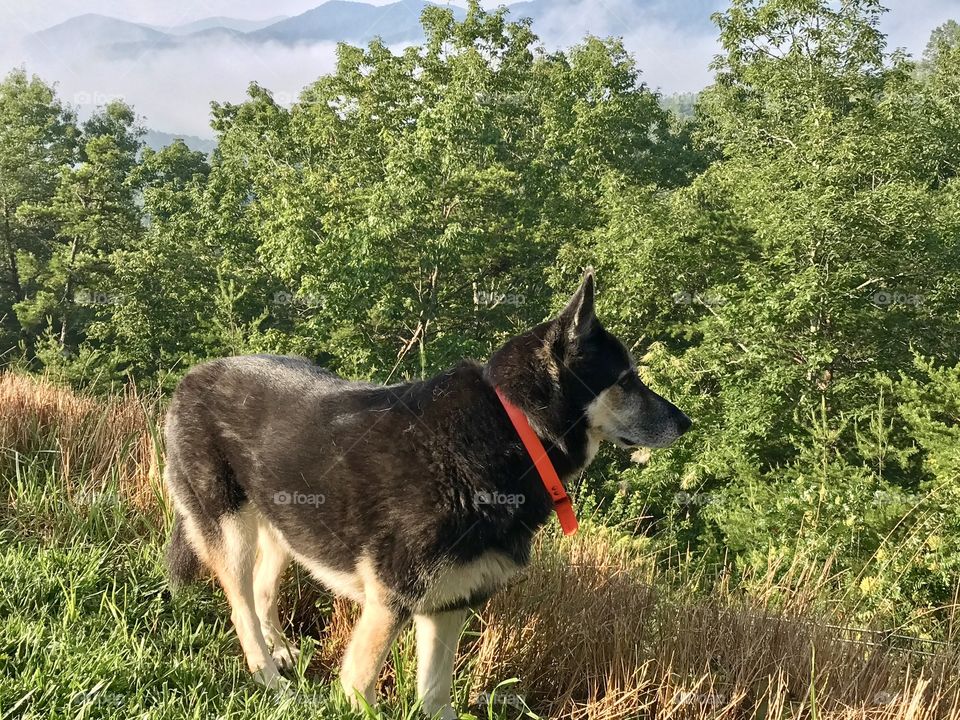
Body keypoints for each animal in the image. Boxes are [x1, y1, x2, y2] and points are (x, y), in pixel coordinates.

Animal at [165, 268, 688, 716]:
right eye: (626, 380)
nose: (686, 423)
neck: (515, 428)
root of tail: (191, 377)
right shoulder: (390, 604)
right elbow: (360, 685)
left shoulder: (447, 606)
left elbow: (436, 697)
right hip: (230, 532)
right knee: (242, 609)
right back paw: (272, 681)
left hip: (286, 524)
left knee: (261, 590)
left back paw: (281, 653)